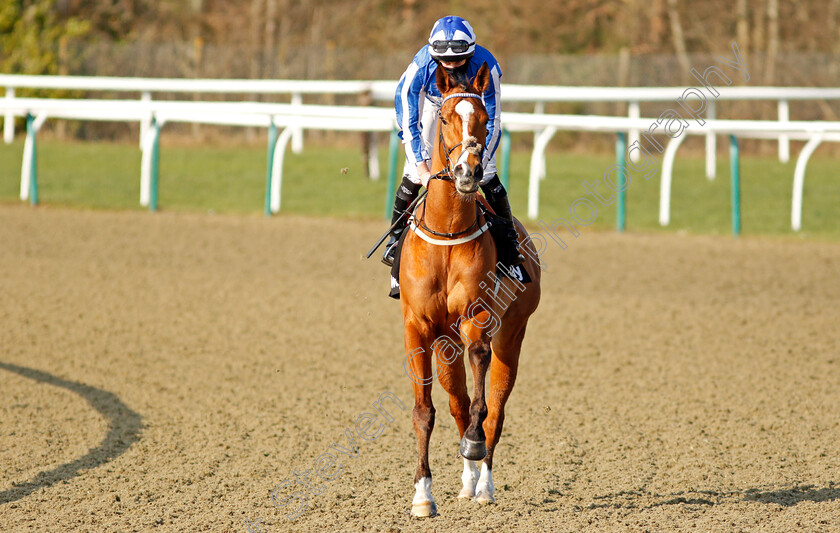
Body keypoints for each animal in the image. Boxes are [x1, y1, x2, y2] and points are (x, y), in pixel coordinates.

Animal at [398, 62, 540, 516]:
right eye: (444, 118)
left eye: (482, 119)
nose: (467, 171)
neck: (448, 228)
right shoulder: (418, 327)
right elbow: (425, 411)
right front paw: (423, 495)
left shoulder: (477, 318)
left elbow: (481, 398)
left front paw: (474, 452)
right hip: (445, 344)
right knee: (458, 403)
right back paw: (467, 480)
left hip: (512, 334)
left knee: (494, 410)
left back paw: (484, 484)